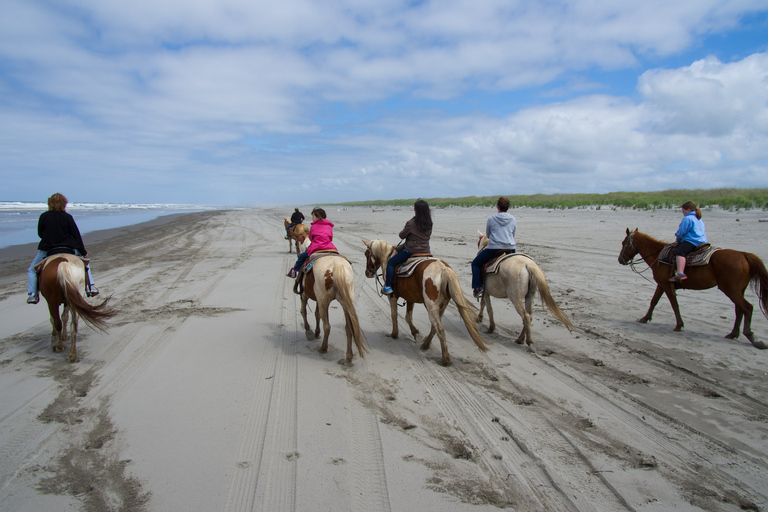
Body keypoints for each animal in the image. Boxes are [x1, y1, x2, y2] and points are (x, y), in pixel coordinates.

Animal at [362, 238, 486, 366]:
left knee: (439, 328)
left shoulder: (392, 296)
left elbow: (394, 315)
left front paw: (394, 334)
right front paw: (415, 332)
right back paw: (426, 344)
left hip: (430, 305)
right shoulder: (410, 298)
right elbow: (408, 317)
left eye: (366, 254)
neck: (388, 257)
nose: (368, 273)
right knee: (434, 326)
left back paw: (445, 359)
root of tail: (443, 269)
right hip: (441, 306)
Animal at [616, 230, 768, 350]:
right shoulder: (661, 284)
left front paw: (678, 325)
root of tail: (743, 254)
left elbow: (674, 304)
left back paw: (752, 337)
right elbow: (654, 301)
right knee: (740, 310)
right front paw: (645, 318)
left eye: (624, 243)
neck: (658, 255)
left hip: (731, 290)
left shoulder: (666, 285)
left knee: (747, 308)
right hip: (738, 290)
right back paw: (733, 334)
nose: (620, 260)